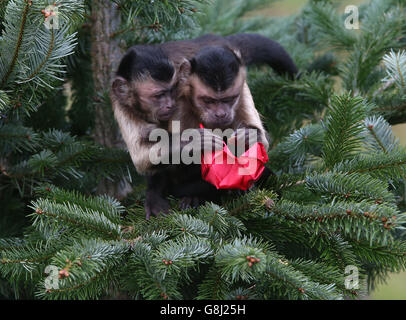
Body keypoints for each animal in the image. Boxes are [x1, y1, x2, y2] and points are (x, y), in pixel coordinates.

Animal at [111, 32, 298, 219]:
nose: (221, 113)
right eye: (208, 101)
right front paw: (194, 141)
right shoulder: (123, 104)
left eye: (229, 99)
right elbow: (144, 155)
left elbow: (260, 143)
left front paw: (249, 136)